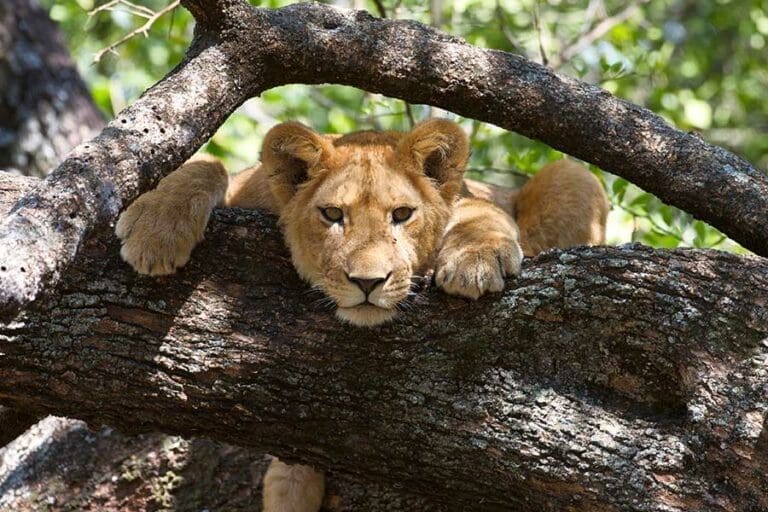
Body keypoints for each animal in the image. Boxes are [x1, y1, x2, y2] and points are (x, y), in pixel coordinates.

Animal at [115, 118, 609, 512]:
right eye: (332, 213)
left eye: (403, 214)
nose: (368, 282)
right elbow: (207, 164)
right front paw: (156, 229)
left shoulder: (473, 200)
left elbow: (478, 211)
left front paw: (475, 259)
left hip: (575, 175)